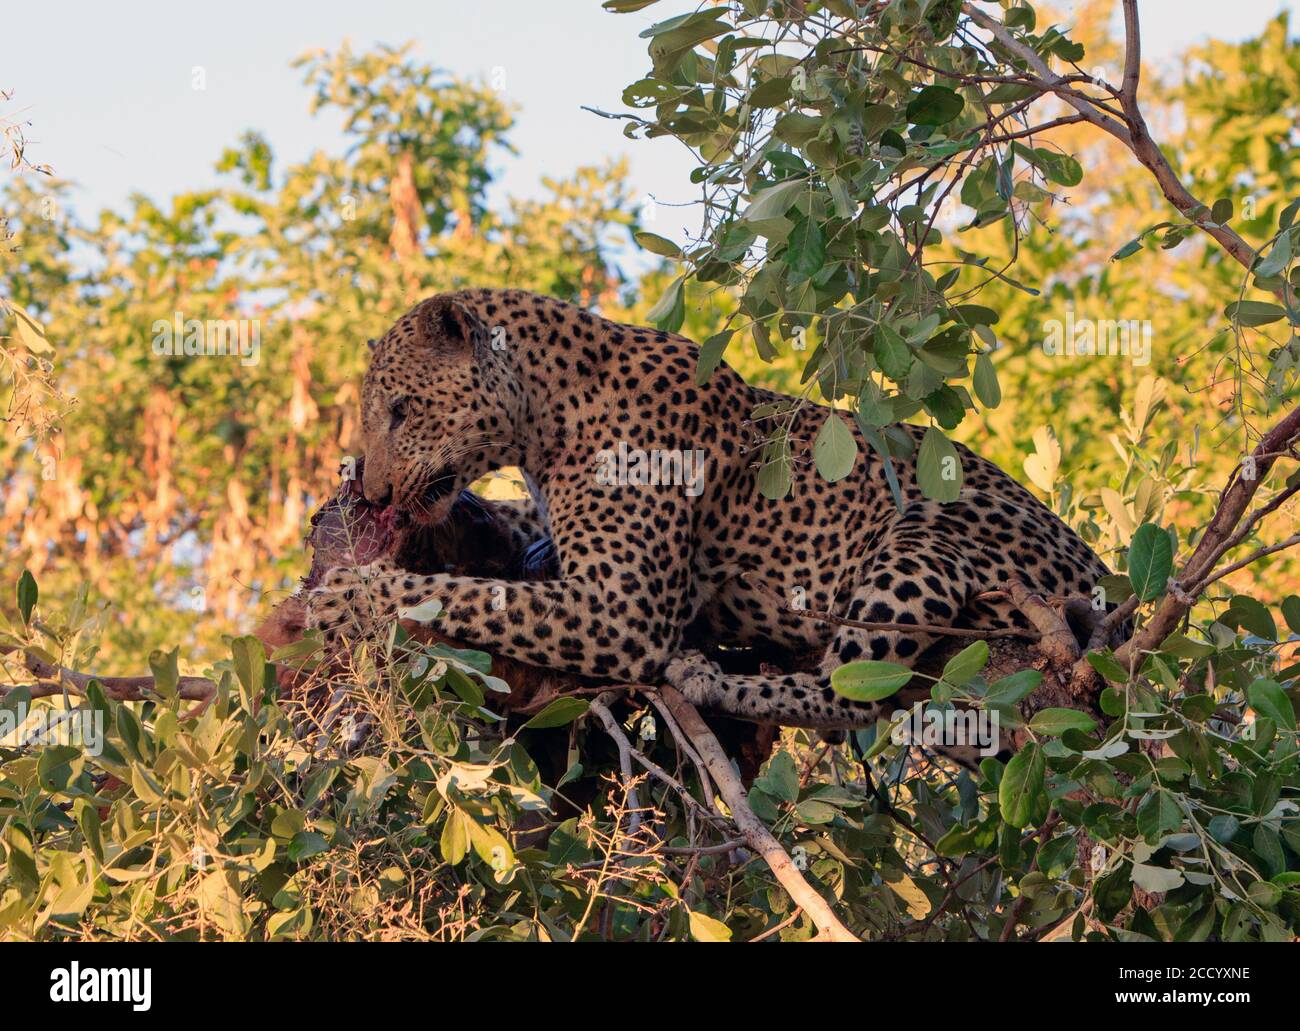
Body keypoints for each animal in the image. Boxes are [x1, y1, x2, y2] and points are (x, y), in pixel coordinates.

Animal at [309, 286, 1112, 728]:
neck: (541, 414)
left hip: (924, 532)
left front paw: (351, 593)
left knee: (855, 692)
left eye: (401, 410)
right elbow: (509, 536)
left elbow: (465, 595)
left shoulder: (623, 612)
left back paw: (712, 678)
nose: (376, 493)